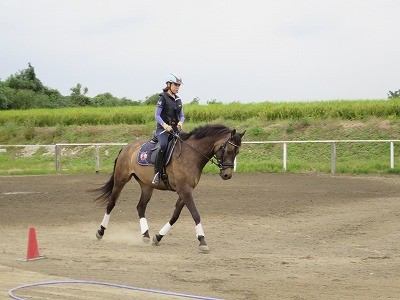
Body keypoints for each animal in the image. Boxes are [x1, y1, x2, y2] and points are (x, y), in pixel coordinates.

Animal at [91, 123, 245, 252]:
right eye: (229, 150)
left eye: (237, 152)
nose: (227, 175)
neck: (192, 154)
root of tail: (127, 146)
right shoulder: (184, 190)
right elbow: (195, 214)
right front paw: (202, 241)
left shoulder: (185, 191)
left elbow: (175, 215)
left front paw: (158, 237)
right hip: (121, 180)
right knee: (111, 204)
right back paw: (100, 232)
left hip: (147, 186)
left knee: (140, 207)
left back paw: (145, 235)